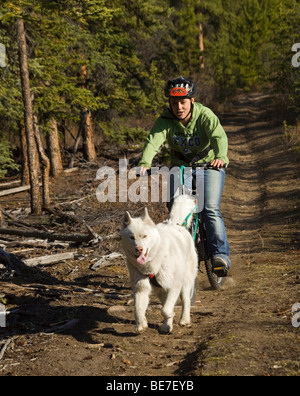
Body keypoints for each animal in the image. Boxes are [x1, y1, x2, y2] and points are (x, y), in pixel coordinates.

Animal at [120, 196, 198, 334]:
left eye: (144, 236)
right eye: (132, 237)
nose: (139, 249)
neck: (152, 264)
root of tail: (175, 224)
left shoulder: (174, 286)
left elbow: (165, 310)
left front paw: (171, 315)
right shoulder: (141, 288)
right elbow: (137, 309)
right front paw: (141, 325)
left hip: (185, 283)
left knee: (186, 301)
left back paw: (184, 319)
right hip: (161, 291)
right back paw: (166, 326)